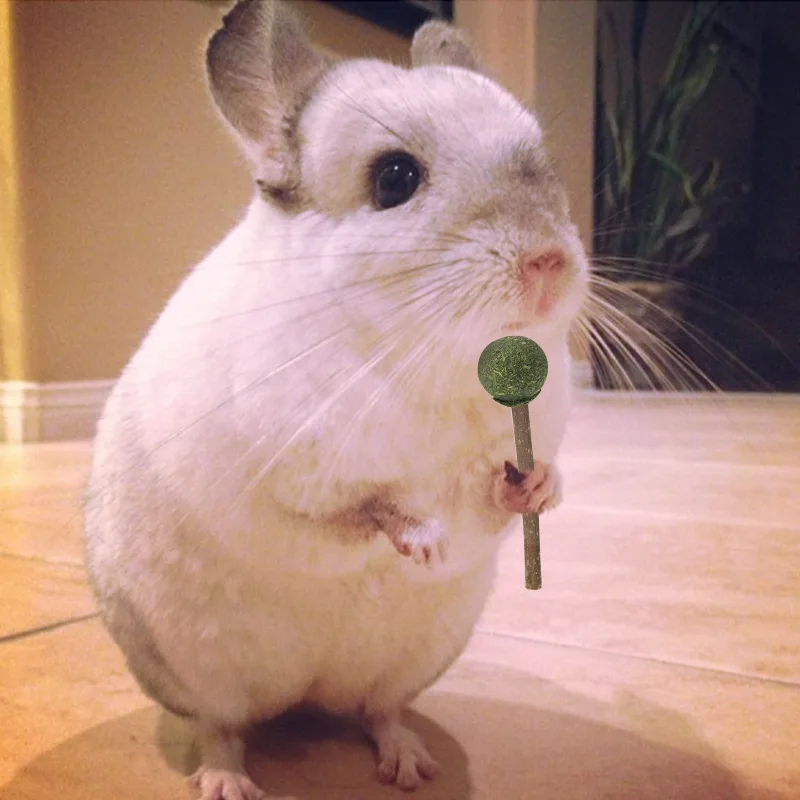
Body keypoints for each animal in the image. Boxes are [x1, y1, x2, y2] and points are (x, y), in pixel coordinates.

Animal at [83, 0, 589, 798]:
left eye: (544, 161)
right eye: (394, 178)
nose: (550, 261)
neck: (427, 352)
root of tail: (301, 698)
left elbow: (502, 498)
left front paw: (535, 488)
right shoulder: (294, 478)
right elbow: (366, 508)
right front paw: (425, 541)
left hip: (409, 665)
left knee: (376, 711)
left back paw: (410, 765)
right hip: (194, 678)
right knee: (222, 729)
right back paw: (229, 783)